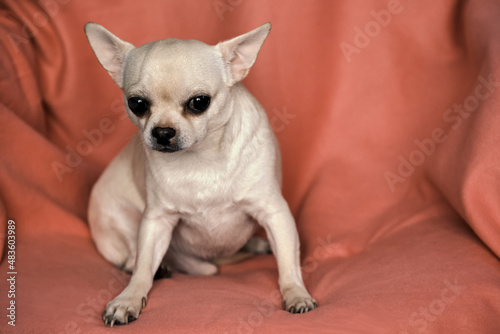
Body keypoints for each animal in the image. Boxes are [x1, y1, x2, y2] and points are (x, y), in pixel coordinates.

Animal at [85, 22, 316, 328]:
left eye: (199, 102)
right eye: (136, 104)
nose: (162, 132)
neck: (201, 158)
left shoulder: (275, 213)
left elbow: (288, 264)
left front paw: (296, 293)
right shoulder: (156, 222)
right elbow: (143, 267)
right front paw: (128, 298)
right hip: (122, 221)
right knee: (131, 256)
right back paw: (154, 266)